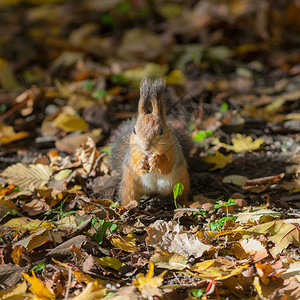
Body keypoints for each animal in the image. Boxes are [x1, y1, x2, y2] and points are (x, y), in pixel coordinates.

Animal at [110, 78, 190, 210]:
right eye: (134, 130)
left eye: (161, 131)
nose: (146, 148)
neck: (149, 153)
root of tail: (153, 190)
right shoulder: (133, 151)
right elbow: (136, 162)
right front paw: (141, 162)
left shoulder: (173, 150)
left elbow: (167, 165)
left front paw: (156, 160)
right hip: (129, 182)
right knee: (128, 197)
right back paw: (123, 207)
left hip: (181, 180)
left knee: (180, 196)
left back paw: (185, 203)